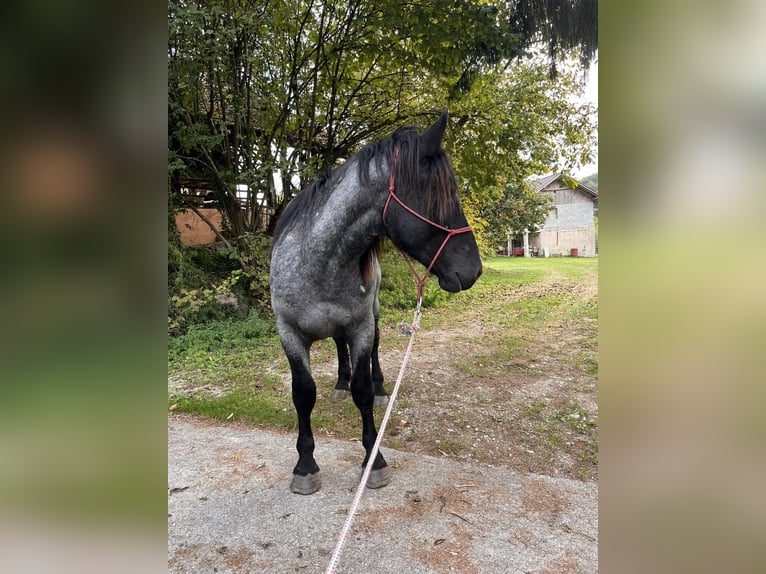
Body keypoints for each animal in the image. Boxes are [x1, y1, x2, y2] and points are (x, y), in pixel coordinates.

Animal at [269, 110, 482, 495]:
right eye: (439, 198)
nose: (473, 269)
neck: (318, 262)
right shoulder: (288, 332)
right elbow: (303, 393)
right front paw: (305, 466)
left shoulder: (361, 326)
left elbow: (364, 390)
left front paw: (374, 458)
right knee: (338, 347)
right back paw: (339, 384)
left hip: (374, 313)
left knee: (375, 350)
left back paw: (381, 387)